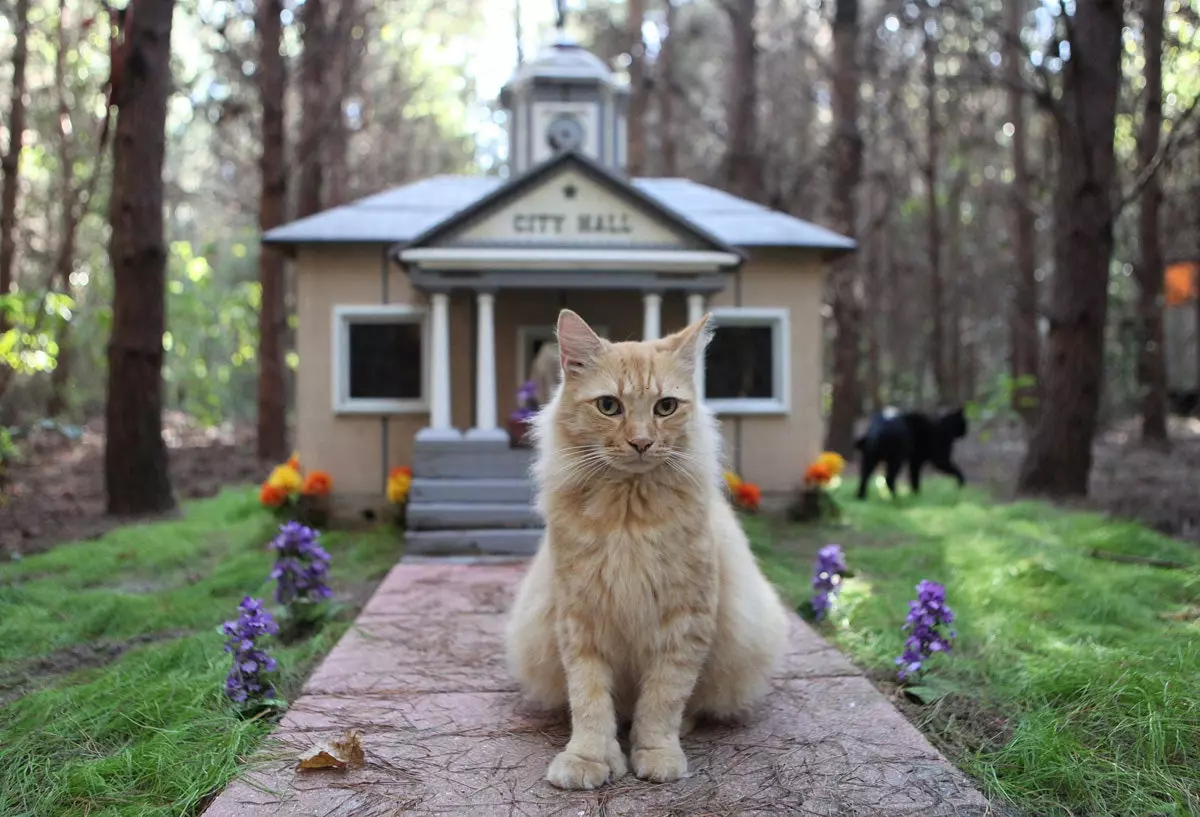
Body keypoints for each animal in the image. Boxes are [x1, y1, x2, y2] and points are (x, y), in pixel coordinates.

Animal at [504, 307, 792, 791]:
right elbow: (589, 701)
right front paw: (590, 758)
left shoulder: (686, 619)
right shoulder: (579, 618)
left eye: (665, 407)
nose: (641, 442)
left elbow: (663, 699)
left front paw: (655, 753)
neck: (628, 515)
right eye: (608, 406)